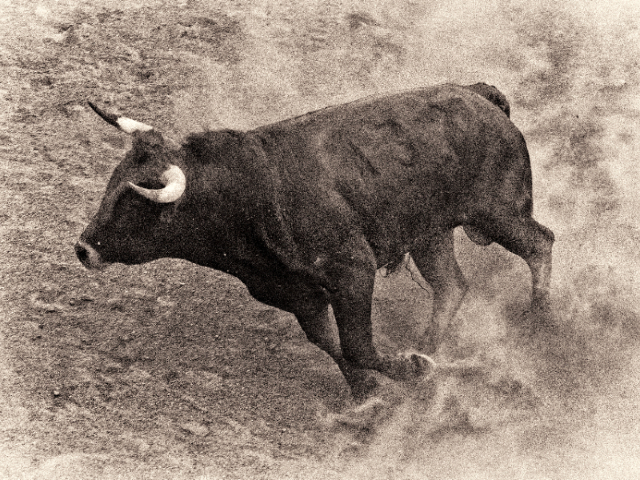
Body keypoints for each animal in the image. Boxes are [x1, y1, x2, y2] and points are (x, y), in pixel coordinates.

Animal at [75, 83, 554, 400]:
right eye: (112, 181)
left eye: (135, 202)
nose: (83, 249)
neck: (248, 193)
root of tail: (479, 95)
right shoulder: (295, 294)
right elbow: (332, 345)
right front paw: (369, 397)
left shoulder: (352, 272)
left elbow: (357, 345)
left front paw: (407, 370)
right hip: (431, 234)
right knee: (451, 286)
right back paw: (429, 348)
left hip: (497, 212)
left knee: (540, 244)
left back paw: (537, 325)